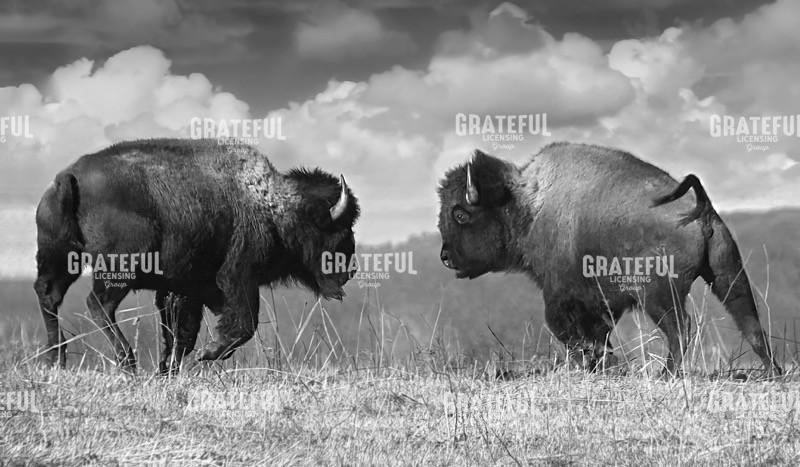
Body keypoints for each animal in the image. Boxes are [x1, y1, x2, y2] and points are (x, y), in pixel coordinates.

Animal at [34, 139, 359, 372]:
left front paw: (169, 369)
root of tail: (69, 176)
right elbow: (243, 324)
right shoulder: (237, 277)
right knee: (98, 305)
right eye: (340, 229)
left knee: (49, 294)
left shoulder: (184, 290)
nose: (352, 269)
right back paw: (127, 362)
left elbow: (181, 334)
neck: (272, 204)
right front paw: (207, 354)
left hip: (61, 257)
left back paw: (56, 359)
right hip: (120, 268)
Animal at [438, 142, 781, 376]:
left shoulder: (562, 296)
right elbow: (599, 334)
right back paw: (772, 372)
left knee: (681, 328)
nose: (445, 257)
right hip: (726, 274)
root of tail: (701, 208)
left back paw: (668, 374)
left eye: (460, 213)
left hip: (658, 295)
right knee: (749, 321)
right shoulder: (604, 302)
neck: (529, 205)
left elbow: (570, 331)